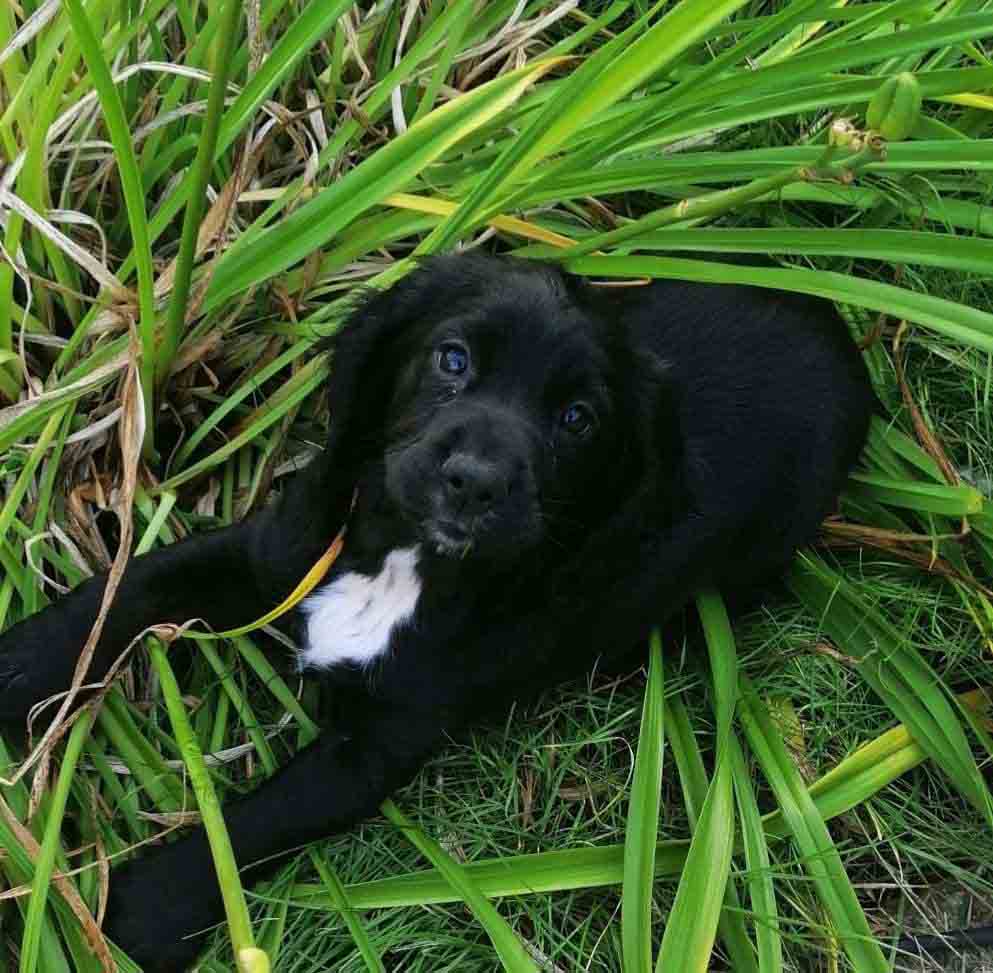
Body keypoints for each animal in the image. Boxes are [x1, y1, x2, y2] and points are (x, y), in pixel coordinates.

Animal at [0, 254, 868, 968]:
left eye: (577, 418)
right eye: (453, 359)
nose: (475, 481)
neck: (406, 561)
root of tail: (836, 326)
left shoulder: (379, 741)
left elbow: (266, 816)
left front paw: (142, 910)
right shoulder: (273, 555)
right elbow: (126, 590)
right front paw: (20, 664)